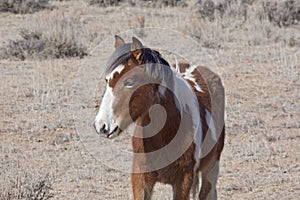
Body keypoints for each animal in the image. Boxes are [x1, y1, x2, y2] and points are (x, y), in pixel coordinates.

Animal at [94, 36, 225, 200]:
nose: (101, 125)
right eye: (107, 80)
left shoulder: (183, 181)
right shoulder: (141, 179)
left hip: (212, 167)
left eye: (129, 82)